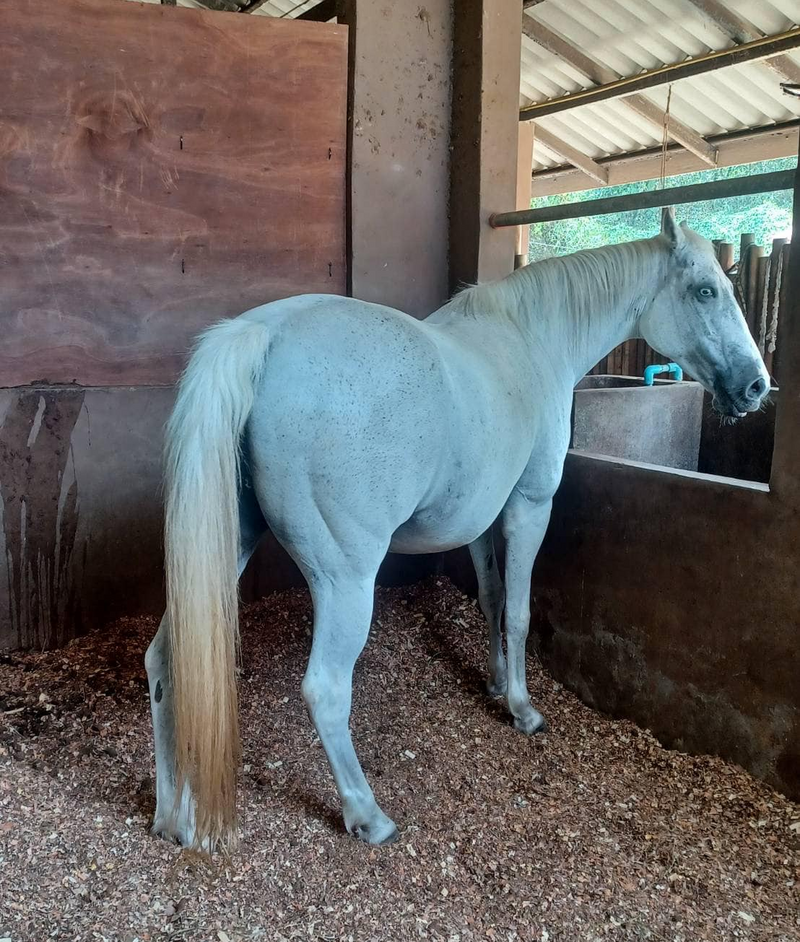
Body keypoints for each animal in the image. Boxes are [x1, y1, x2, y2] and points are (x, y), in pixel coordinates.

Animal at [144, 208, 768, 856]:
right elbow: (518, 611)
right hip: (345, 581)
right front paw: (522, 708)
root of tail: (263, 335)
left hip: (227, 553)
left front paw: (494, 683)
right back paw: (368, 814)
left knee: (165, 663)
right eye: (706, 291)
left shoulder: (480, 520)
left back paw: (173, 817)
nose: (755, 385)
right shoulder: (529, 507)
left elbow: (491, 599)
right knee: (325, 689)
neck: (531, 340)